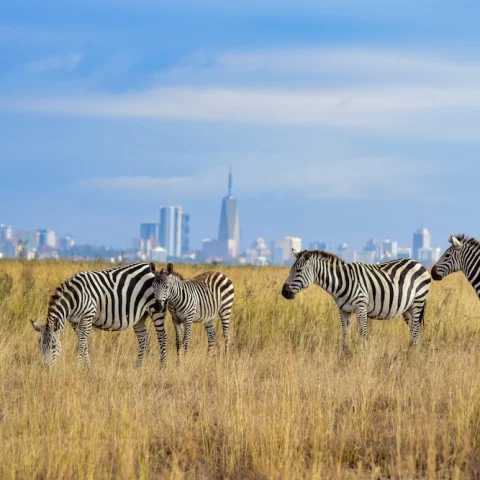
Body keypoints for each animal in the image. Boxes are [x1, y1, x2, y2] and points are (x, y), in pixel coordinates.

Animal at [30, 262, 168, 368]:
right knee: (143, 339)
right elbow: (84, 345)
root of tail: (149, 268)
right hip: (140, 316)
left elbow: (81, 344)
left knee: (162, 338)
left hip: (156, 309)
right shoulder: (74, 321)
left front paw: (77, 367)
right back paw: (138, 367)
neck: (74, 297)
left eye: (53, 346)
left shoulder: (88, 316)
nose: (46, 368)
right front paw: (88, 368)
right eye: (39, 346)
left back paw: (162, 368)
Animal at [282, 251, 432, 348]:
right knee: (413, 330)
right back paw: (411, 350)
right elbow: (344, 332)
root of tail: (417, 263)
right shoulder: (343, 310)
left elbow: (363, 332)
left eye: (299, 271)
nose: (284, 292)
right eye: (290, 270)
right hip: (407, 308)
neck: (341, 282)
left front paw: (364, 353)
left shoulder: (361, 307)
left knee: (416, 329)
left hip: (418, 301)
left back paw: (413, 353)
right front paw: (344, 355)